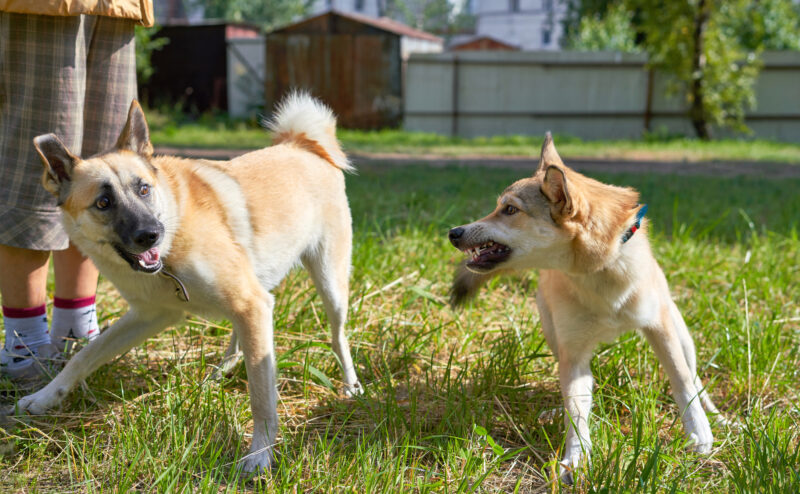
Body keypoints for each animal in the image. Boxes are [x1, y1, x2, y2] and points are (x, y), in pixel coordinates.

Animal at [16, 93, 360, 474]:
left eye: (144, 189)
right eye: (103, 202)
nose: (151, 234)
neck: (173, 237)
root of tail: (301, 143)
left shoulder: (248, 304)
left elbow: (261, 395)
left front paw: (259, 454)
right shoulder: (152, 315)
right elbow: (84, 356)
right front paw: (45, 396)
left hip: (329, 284)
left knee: (337, 336)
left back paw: (351, 385)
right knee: (242, 339)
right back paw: (220, 372)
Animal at [446, 134, 720, 482]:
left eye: (509, 209)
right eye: (500, 207)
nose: (453, 233)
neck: (597, 272)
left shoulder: (660, 328)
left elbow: (682, 381)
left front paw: (699, 432)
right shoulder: (572, 352)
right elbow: (576, 411)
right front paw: (576, 457)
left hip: (681, 333)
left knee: (694, 375)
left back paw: (716, 415)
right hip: (553, 333)